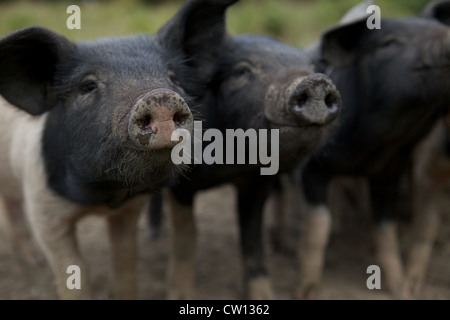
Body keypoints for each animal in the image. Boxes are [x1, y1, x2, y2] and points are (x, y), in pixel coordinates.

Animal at [0, 0, 236, 300]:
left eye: (173, 77)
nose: (159, 97)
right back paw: (35, 261)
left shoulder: (129, 208)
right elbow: (73, 272)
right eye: (87, 85)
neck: (105, 196)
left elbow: (125, 261)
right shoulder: (43, 208)